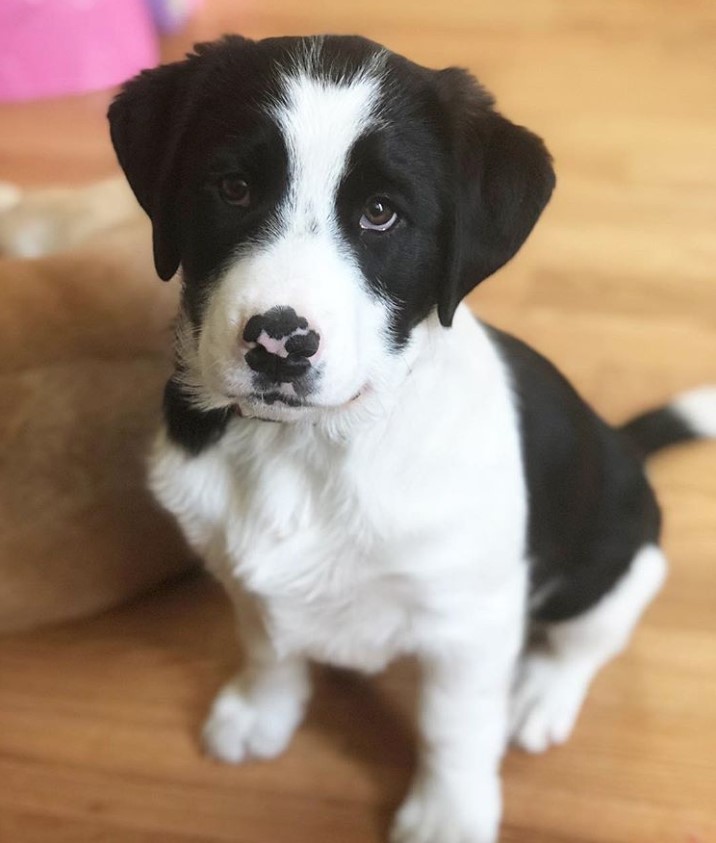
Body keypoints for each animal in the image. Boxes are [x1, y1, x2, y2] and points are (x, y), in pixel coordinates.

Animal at [107, 34, 716, 843]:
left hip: (616, 561)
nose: (278, 343)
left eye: (381, 213)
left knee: (589, 638)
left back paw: (541, 693)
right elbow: (268, 647)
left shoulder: (470, 623)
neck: (307, 450)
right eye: (232, 188)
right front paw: (262, 712)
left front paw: (449, 812)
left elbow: (454, 727)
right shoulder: (241, 573)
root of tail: (620, 442)